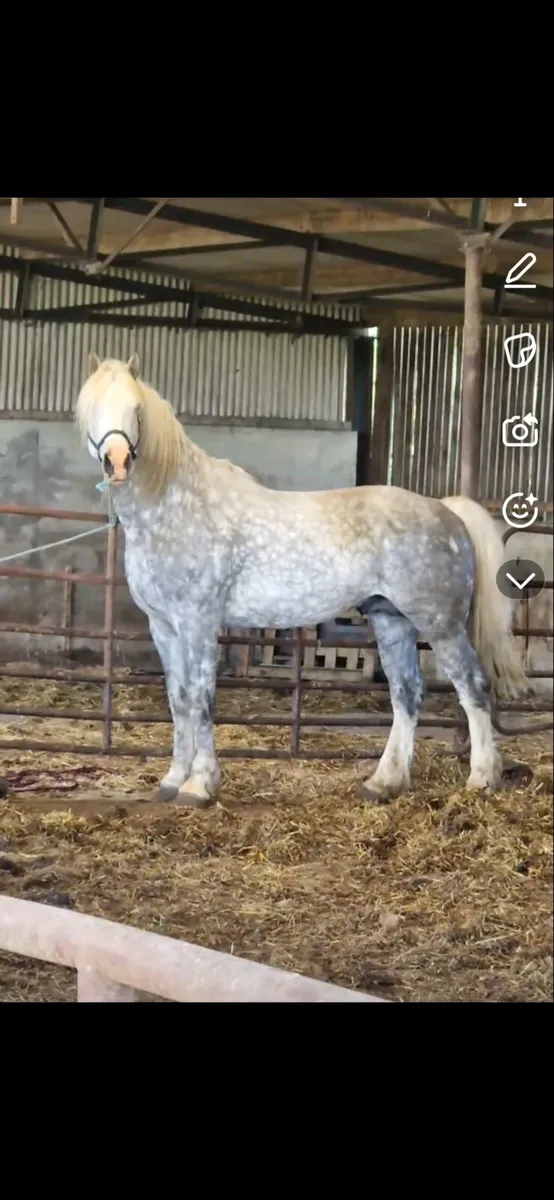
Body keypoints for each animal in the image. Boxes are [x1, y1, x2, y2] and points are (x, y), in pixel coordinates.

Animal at [76, 353, 529, 809]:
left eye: (135, 409)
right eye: (92, 408)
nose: (117, 462)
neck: (178, 507)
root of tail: (446, 510)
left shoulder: (198, 622)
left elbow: (201, 698)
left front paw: (199, 785)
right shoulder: (164, 626)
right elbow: (179, 699)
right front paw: (172, 780)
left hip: (441, 625)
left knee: (473, 687)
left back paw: (482, 779)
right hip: (392, 620)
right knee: (407, 693)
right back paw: (384, 782)